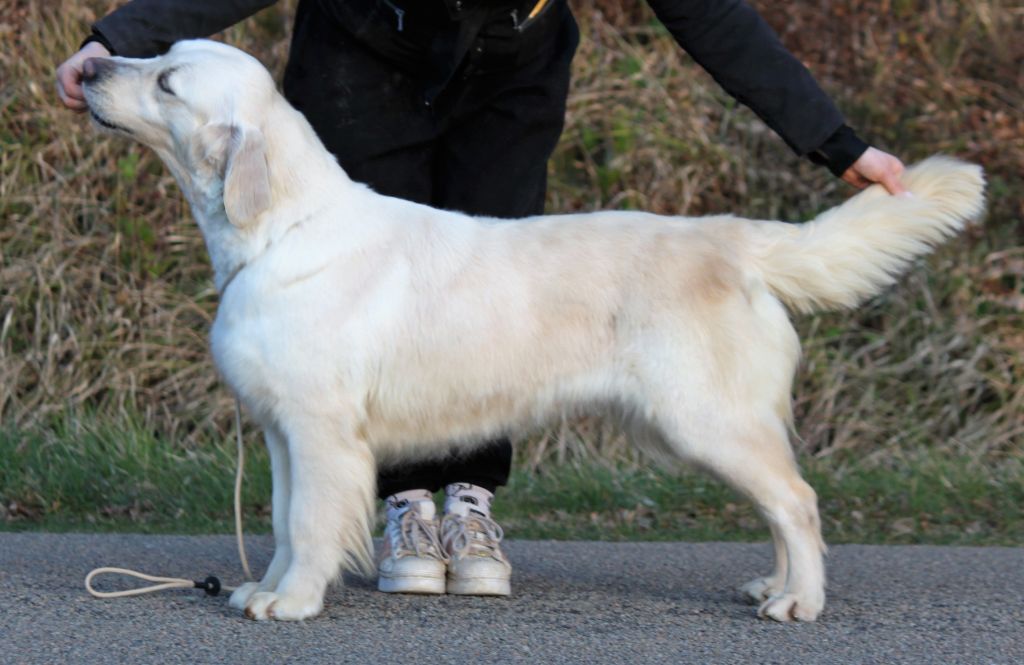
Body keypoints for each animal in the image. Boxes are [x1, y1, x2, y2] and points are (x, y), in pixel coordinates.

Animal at [81, 40, 983, 622]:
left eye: (166, 81)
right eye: (154, 54)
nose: (87, 67)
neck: (277, 231)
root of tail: (736, 237)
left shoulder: (320, 427)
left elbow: (307, 522)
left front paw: (294, 601)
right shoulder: (280, 432)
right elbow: (278, 517)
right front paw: (263, 586)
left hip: (708, 418)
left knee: (797, 500)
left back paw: (800, 599)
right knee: (781, 507)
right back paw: (772, 585)